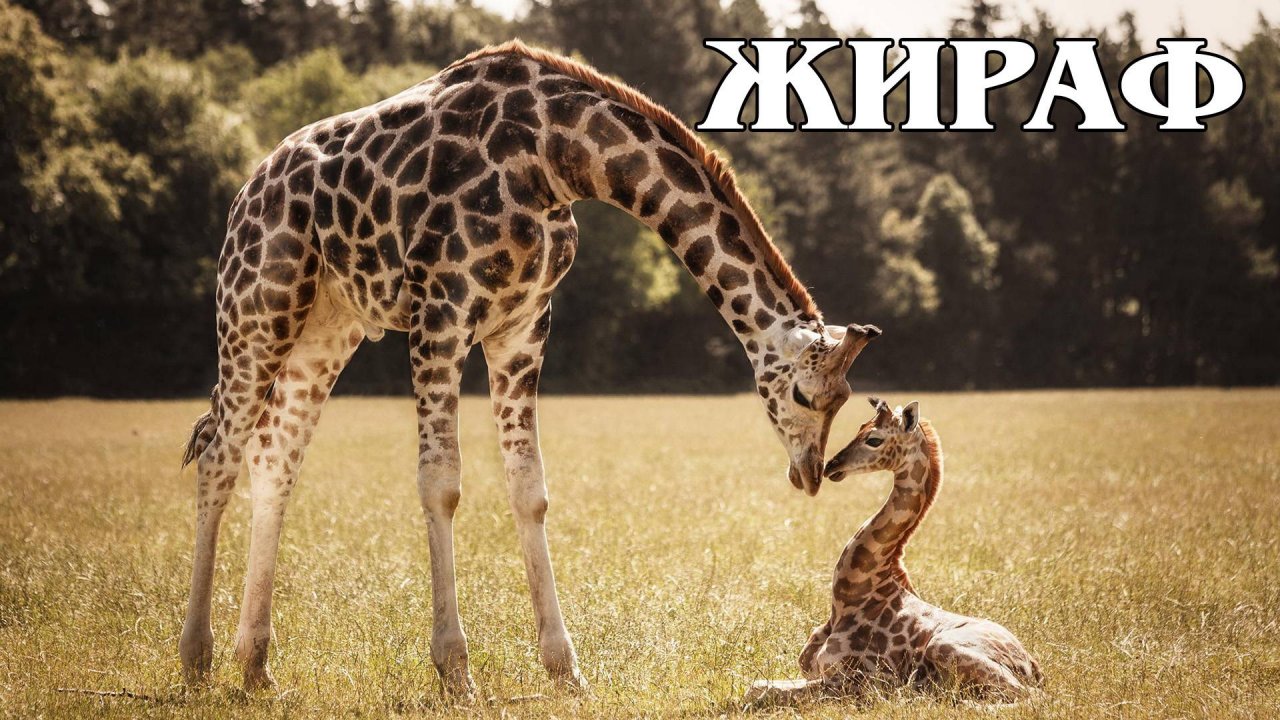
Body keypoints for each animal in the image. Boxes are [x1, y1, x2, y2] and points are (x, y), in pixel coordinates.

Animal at [177, 40, 881, 697]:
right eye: (806, 394)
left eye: (844, 399)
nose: (810, 474)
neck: (557, 156)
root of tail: (246, 192)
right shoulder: (442, 312)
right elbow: (441, 483)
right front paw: (455, 671)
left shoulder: (523, 325)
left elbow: (529, 487)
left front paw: (564, 667)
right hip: (258, 305)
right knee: (220, 455)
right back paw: (196, 659)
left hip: (327, 327)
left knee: (274, 457)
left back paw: (256, 666)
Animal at [750, 398, 1042, 705]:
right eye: (859, 428)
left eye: (874, 439)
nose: (831, 465)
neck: (849, 598)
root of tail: (1034, 666)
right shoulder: (814, 672)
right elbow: (758, 686)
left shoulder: (859, 683)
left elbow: (762, 690)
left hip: (944, 646)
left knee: (1030, 697)